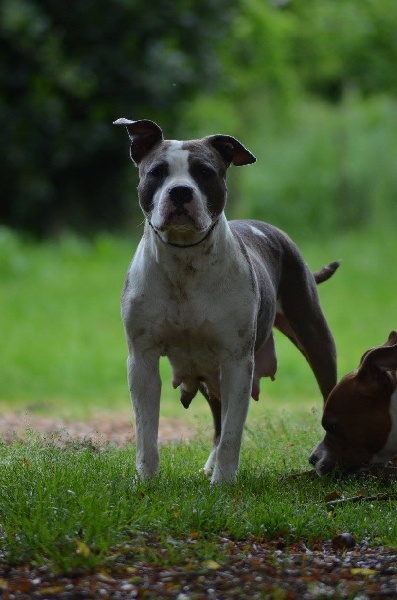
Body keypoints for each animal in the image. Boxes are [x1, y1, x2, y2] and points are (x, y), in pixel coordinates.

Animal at [113, 117, 338, 482]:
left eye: (204, 172)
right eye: (157, 172)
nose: (180, 191)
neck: (185, 262)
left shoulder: (236, 360)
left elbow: (234, 430)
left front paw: (224, 483)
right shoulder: (142, 360)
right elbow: (146, 430)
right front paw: (145, 480)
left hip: (315, 336)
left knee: (330, 391)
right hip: (208, 370)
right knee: (217, 417)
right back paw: (209, 462)